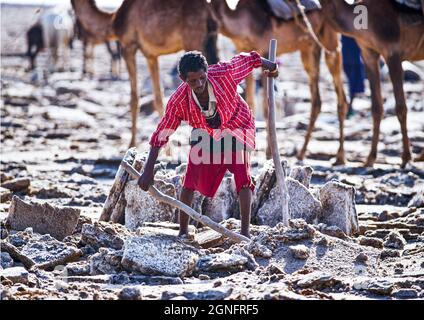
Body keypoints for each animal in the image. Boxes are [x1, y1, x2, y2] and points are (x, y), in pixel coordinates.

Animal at [71, 0, 217, 148]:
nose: (78, 35)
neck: (113, 21)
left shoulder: (128, 46)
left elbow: (134, 98)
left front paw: (131, 145)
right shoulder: (150, 55)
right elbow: (158, 98)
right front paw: (166, 149)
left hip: (193, 39)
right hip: (210, 39)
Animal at [207, 0, 350, 164]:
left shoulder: (264, 52)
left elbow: (266, 106)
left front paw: (268, 153)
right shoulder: (244, 49)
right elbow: (251, 101)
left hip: (330, 41)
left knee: (341, 98)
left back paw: (340, 157)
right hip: (309, 49)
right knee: (317, 99)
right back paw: (301, 153)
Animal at [318, 0, 424, 169]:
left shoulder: (393, 53)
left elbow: (400, 108)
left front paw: (406, 158)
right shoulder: (368, 53)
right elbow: (376, 108)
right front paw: (369, 159)